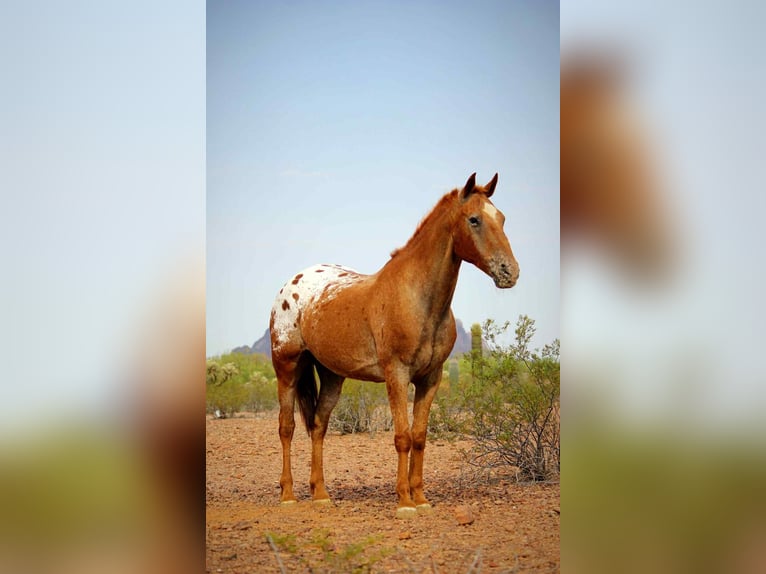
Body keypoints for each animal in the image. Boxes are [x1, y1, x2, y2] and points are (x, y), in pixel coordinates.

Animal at [269, 173, 519, 518]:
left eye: (503, 219)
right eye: (474, 220)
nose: (510, 272)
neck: (416, 299)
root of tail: (291, 284)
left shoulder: (430, 378)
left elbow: (420, 436)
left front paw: (422, 498)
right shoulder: (397, 375)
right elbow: (402, 436)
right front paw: (404, 501)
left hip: (332, 375)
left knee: (318, 425)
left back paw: (320, 493)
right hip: (287, 366)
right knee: (287, 427)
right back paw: (288, 495)